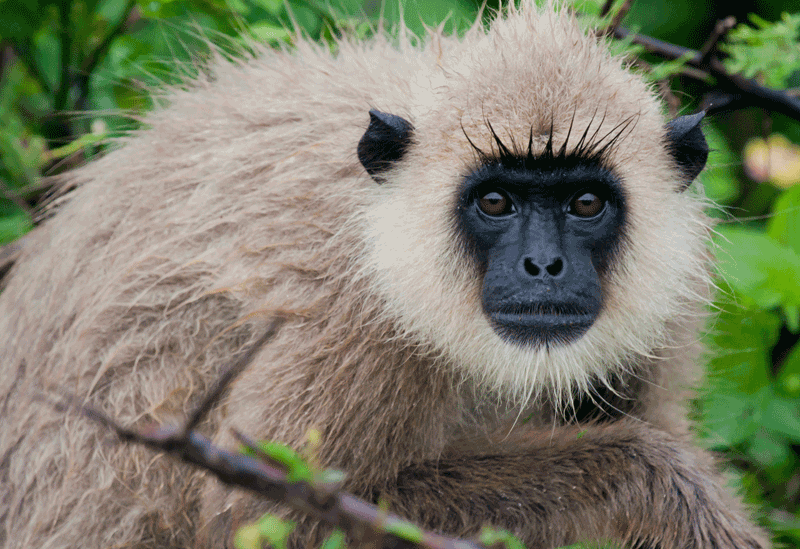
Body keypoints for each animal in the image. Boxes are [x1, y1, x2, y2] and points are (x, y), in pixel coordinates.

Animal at [0, 1, 768, 548]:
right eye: (495, 201)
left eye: (585, 204)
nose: (543, 266)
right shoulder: (349, 314)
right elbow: (267, 519)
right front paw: (667, 488)